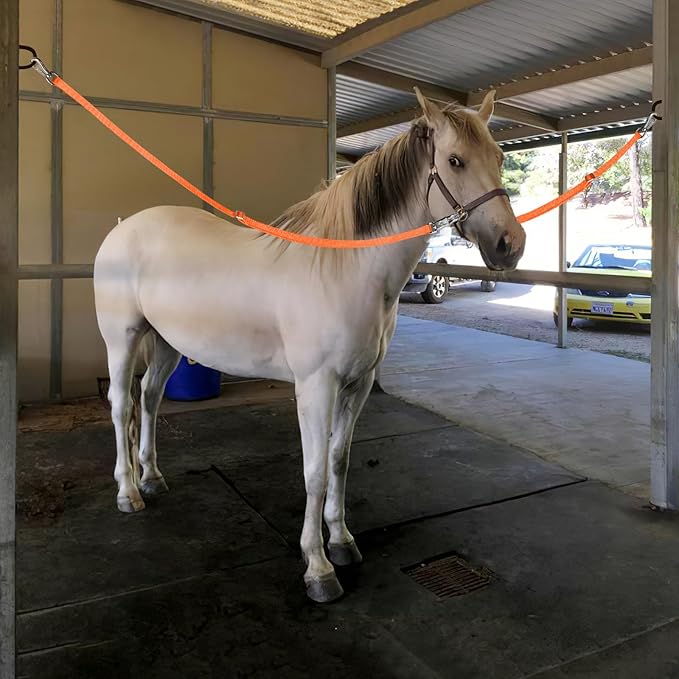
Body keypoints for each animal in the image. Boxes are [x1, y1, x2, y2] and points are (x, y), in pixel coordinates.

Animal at [93, 88, 526, 603]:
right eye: (455, 160)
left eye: (499, 156)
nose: (510, 244)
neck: (345, 271)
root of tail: (122, 228)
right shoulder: (317, 386)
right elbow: (314, 471)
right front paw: (318, 568)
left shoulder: (359, 385)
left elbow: (339, 460)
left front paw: (341, 541)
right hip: (122, 339)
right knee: (122, 405)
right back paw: (128, 492)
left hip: (165, 343)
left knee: (150, 398)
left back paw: (153, 478)